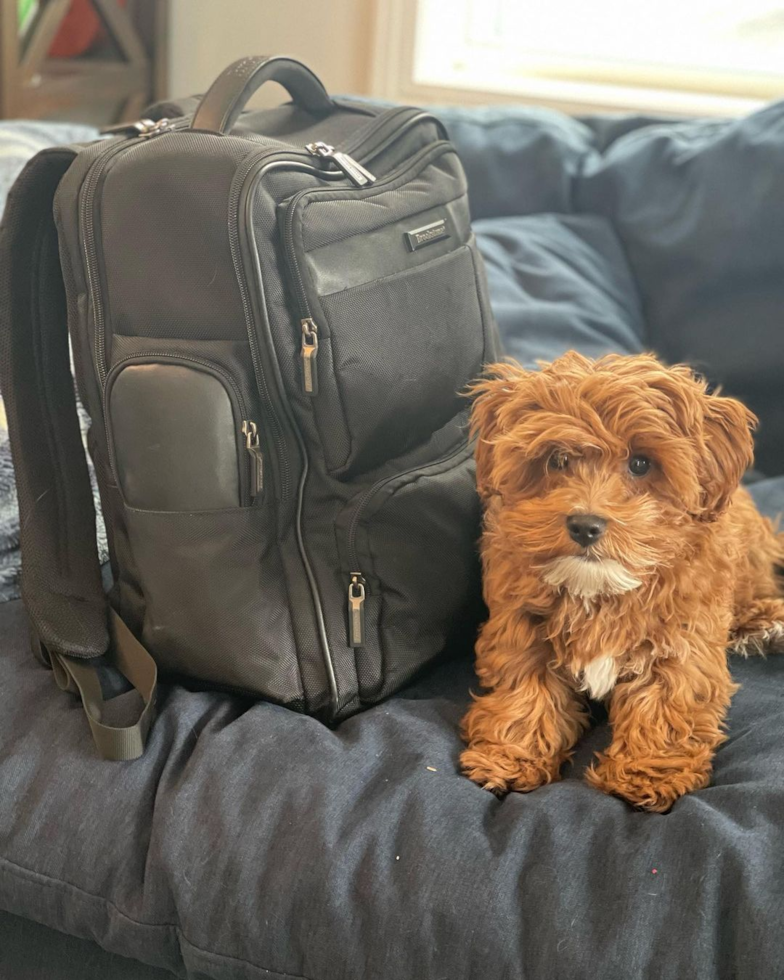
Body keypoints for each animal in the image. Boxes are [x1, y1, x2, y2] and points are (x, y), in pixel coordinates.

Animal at [460, 352, 784, 812]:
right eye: (557, 460)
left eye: (640, 463)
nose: (585, 525)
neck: (600, 589)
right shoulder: (520, 628)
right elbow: (525, 689)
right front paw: (509, 756)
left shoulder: (683, 640)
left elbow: (665, 701)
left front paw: (648, 772)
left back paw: (766, 622)